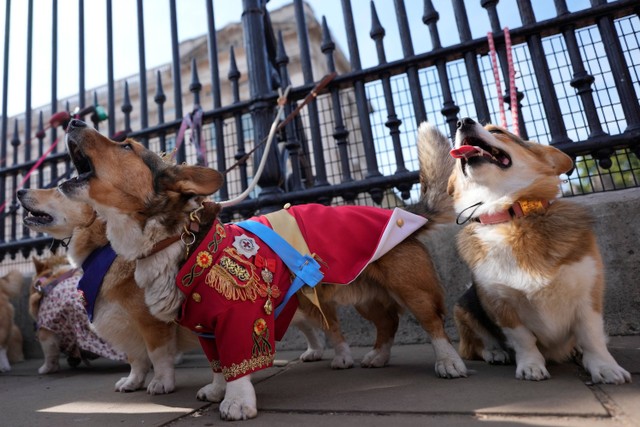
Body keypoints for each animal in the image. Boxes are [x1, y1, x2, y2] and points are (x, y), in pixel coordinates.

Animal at [18, 187, 199, 394]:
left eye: (59, 190)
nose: (19, 191)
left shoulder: (153, 322)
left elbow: (158, 356)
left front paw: (161, 382)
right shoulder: (127, 326)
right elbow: (136, 359)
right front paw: (132, 382)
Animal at [58, 119, 464, 422]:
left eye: (126, 147)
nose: (73, 119)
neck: (177, 240)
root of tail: (405, 212)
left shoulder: (239, 317)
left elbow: (236, 361)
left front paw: (237, 402)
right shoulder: (205, 326)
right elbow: (218, 363)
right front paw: (217, 389)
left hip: (411, 287)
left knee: (432, 323)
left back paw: (448, 362)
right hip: (365, 294)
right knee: (387, 323)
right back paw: (377, 357)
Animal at [448, 117, 632, 384]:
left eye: (497, 131)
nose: (462, 121)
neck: (511, 216)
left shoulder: (589, 294)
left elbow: (592, 336)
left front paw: (605, 367)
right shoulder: (501, 304)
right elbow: (524, 340)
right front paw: (531, 366)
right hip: (463, 307)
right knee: (474, 346)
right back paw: (495, 352)